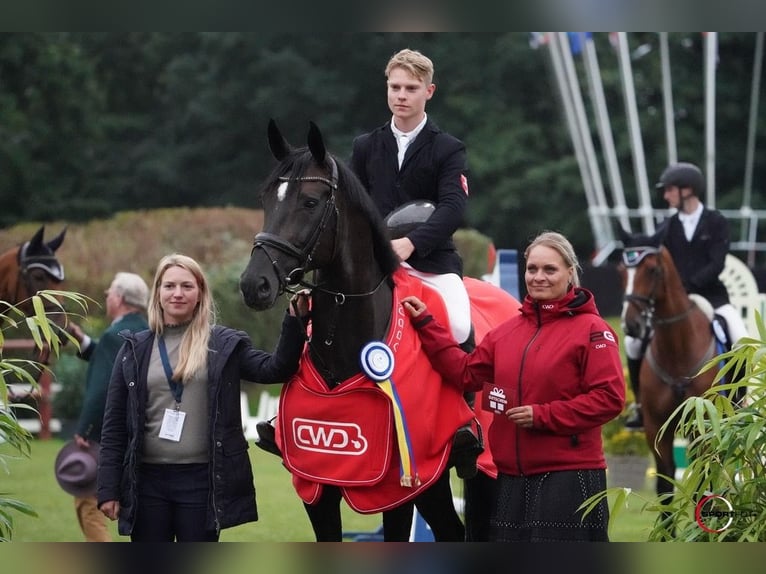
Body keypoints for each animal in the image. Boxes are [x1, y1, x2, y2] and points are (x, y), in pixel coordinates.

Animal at [240, 121, 520, 544]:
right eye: (266, 198)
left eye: (310, 202)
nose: (254, 284)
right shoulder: (316, 481)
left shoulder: (397, 486)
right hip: (434, 483)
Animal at [620, 232, 724, 506]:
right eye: (621, 270)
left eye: (652, 270)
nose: (631, 326)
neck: (677, 348)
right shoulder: (656, 427)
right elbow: (665, 486)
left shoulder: (703, 424)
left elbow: (703, 482)